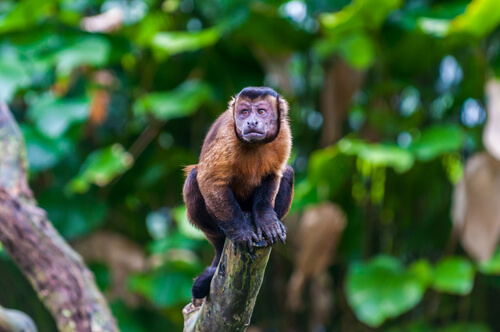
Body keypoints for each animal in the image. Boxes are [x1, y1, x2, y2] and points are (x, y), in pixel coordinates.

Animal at [183, 87, 292, 300]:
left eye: (261, 111)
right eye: (244, 112)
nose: (251, 122)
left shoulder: (284, 134)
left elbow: (274, 174)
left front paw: (267, 220)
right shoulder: (227, 135)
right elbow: (210, 180)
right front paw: (240, 232)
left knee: (288, 172)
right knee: (194, 177)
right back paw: (223, 233)